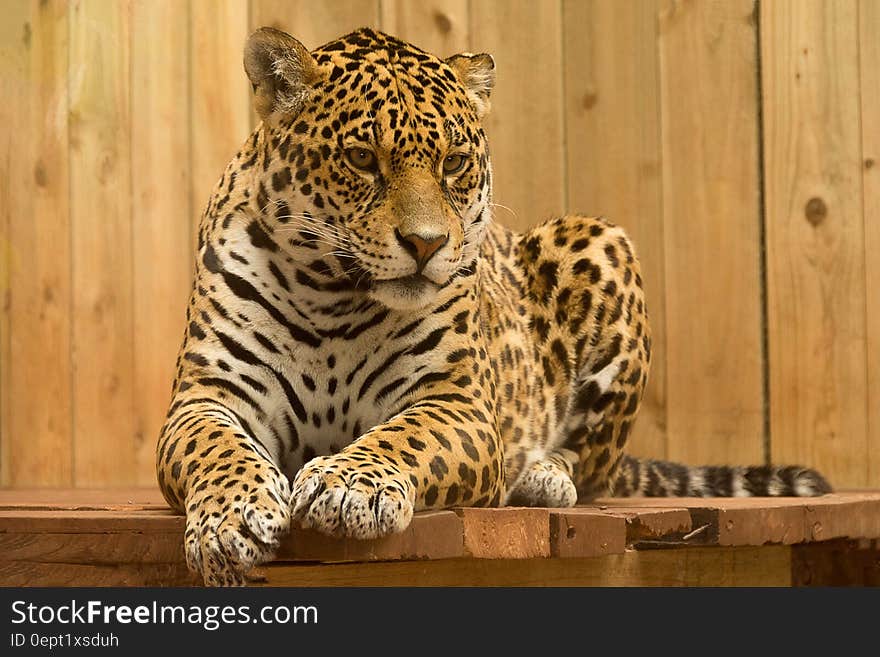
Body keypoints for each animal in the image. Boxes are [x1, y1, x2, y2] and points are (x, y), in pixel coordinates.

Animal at [158, 28, 832, 588]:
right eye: (361, 159)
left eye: (453, 162)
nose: (427, 244)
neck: (333, 296)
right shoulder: (206, 396)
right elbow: (215, 448)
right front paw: (230, 520)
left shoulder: (458, 404)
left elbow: (402, 436)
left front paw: (349, 485)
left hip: (600, 241)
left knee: (593, 464)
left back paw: (542, 477)